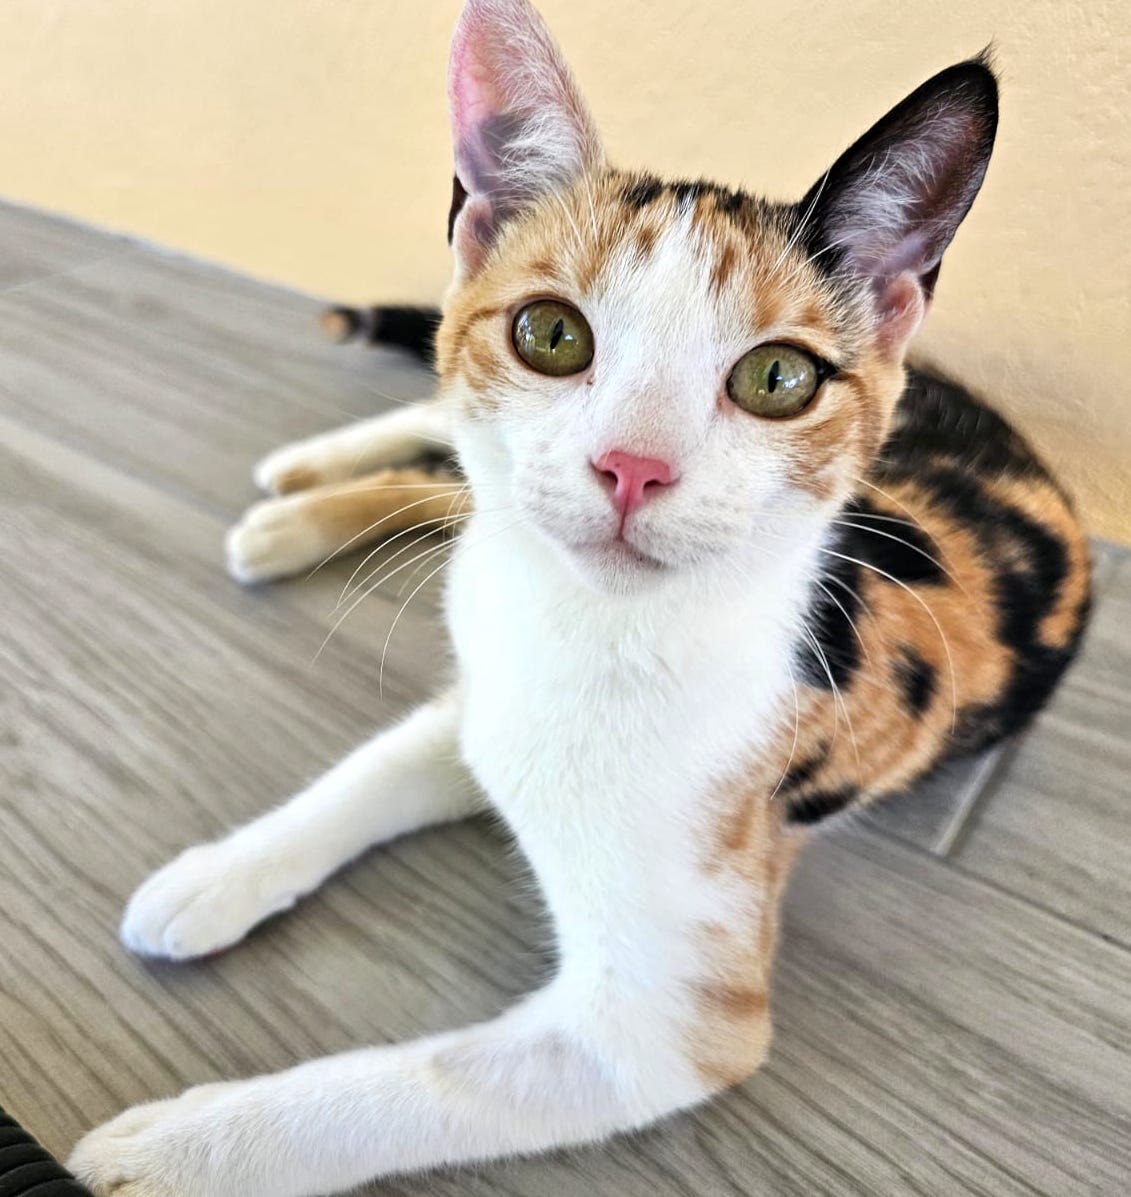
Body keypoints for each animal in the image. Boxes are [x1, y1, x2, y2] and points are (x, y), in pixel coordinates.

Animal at [68, 2, 1086, 1197]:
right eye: (551, 334)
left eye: (778, 379)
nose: (631, 467)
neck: (576, 627)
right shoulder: (480, 692)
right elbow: (365, 770)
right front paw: (215, 876)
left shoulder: (664, 1028)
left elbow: (424, 1083)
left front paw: (183, 1146)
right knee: (440, 445)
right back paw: (306, 481)